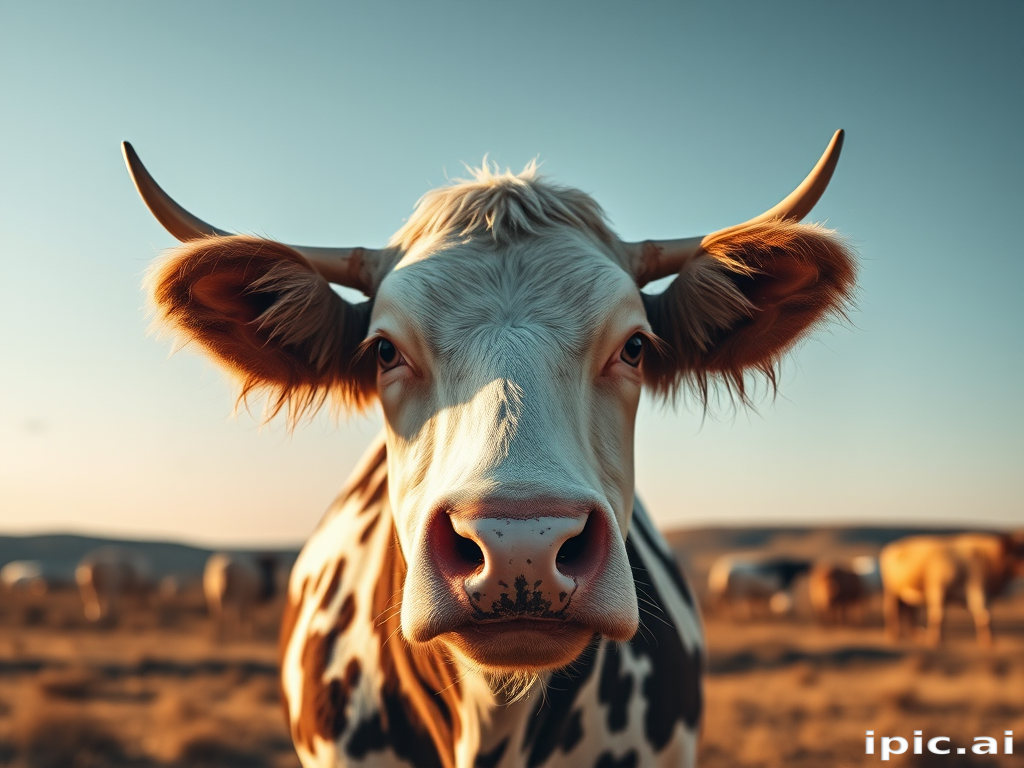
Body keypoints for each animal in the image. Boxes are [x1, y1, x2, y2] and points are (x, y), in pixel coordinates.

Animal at [880, 532, 1024, 647]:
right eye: (1018, 552)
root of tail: (891, 548)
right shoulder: (938, 588)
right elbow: (938, 615)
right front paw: (936, 640)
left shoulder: (982, 591)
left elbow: (985, 616)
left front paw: (989, 641)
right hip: (891, 590)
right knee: (891, 610)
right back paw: (893, 636)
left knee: (909, 612)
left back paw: (916, 636)